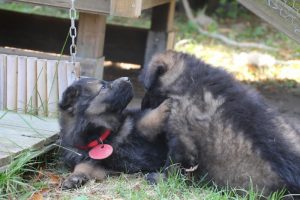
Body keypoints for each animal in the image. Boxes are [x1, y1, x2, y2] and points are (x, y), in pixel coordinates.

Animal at [139, 50, 300, 195]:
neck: (190, 79)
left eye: (148, 90)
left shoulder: (183, 137)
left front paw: (160, 179)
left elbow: (173, 164)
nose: (142, 106)